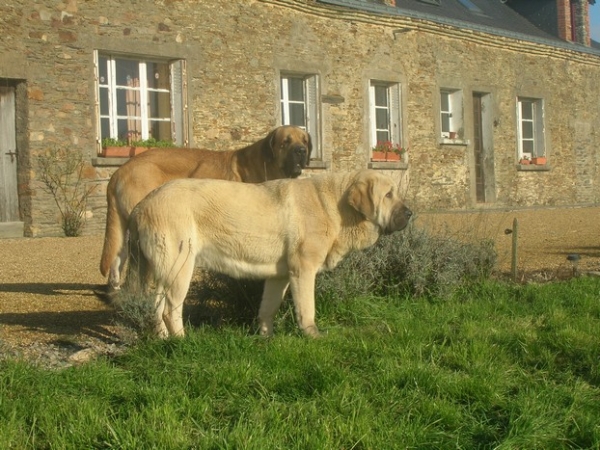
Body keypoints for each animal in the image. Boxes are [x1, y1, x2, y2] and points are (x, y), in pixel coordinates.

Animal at [99, 125, 312, 290]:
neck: (267, 163)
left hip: (125, 223)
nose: (301, 150)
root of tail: (119, 171)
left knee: (119, 254)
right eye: (286, 142)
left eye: (304, 140)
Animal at [124, 169, 410, 338]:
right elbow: (307, 309)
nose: (409, 213)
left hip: (164, 271)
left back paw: (162, 340)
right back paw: (182, 341)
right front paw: (313, 336)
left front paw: (265, 337)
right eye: (388, 194)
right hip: (181, 267)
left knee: (156, 306)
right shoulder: (303, 270)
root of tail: (141, 205)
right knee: (171, 308)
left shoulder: (279, 276)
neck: (338, 209)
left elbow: (268, 308)